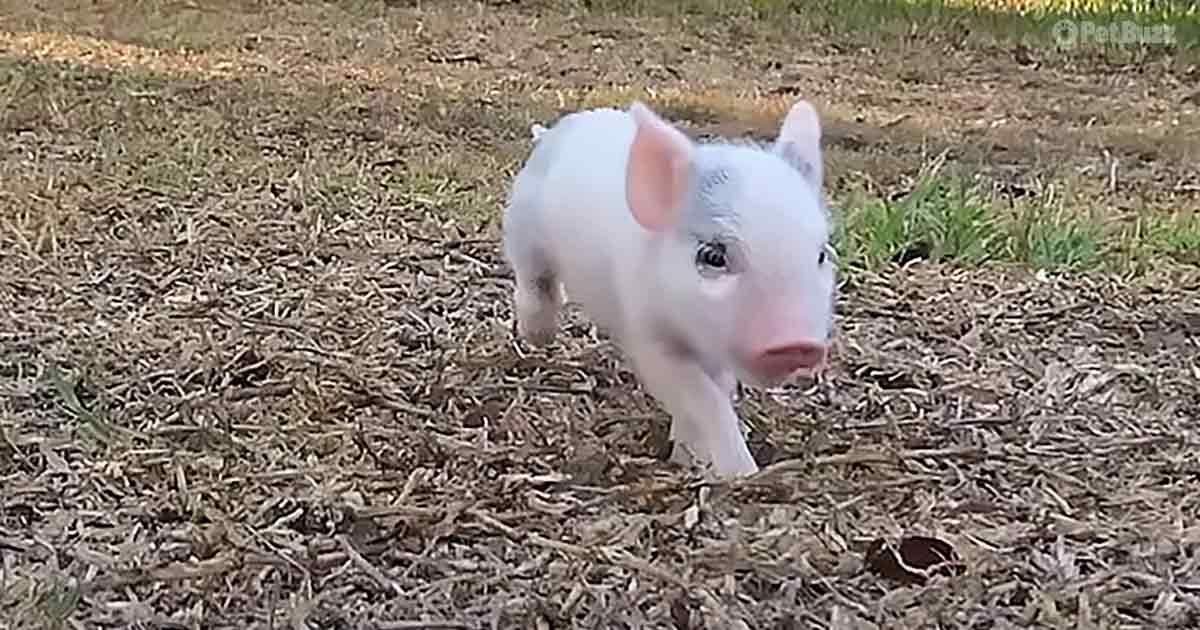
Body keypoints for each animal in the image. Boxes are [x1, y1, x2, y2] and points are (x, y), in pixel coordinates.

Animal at [500, 99, 836, 480]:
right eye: (713, 256)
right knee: (532, 278)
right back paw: (539, 336)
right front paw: (742, 473)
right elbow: (703, 397)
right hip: (522, 227)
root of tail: (561, 129)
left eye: (821, 254)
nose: (797, 344)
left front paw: (687, 458)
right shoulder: (647, 333)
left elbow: (718, 391)